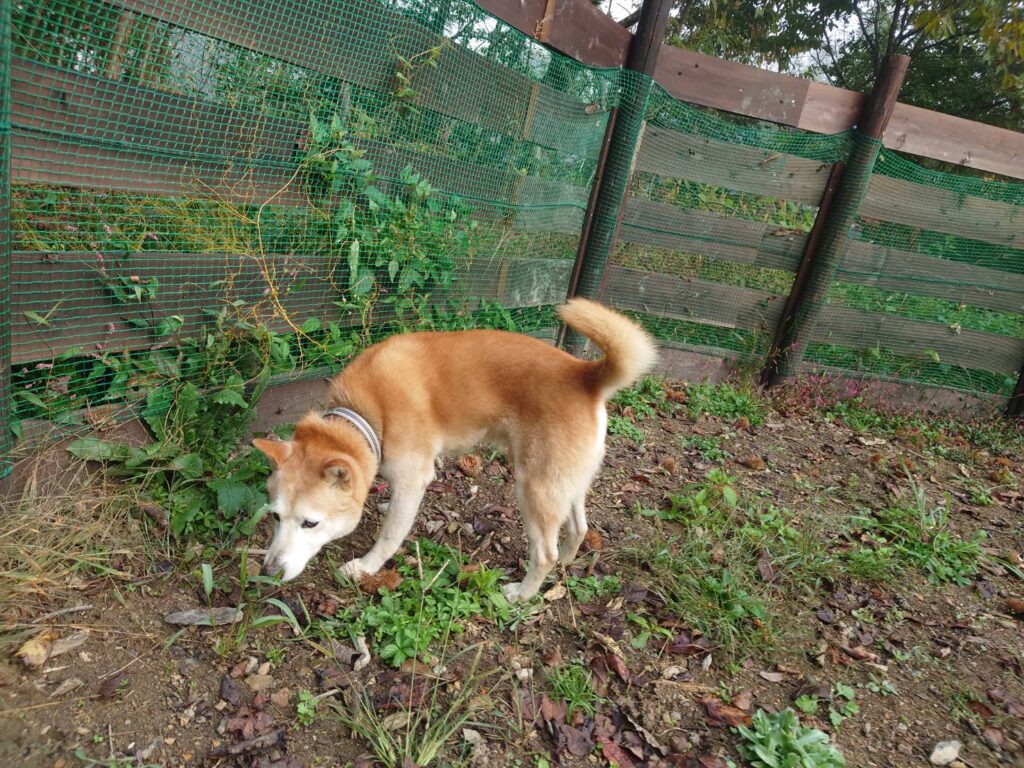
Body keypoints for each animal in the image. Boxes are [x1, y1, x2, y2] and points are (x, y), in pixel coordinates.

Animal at [252, 298, 657, 601]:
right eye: (274, 516)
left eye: (310, 523)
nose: (268, 571)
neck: (368, 412)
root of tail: (586, 376)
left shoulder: (413, 479)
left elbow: (390, 534)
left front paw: (366, 567)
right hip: (563, 483)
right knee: (578, 528)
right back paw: (566, 567)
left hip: (532, 489)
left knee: (545, 552)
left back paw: (522, 593)